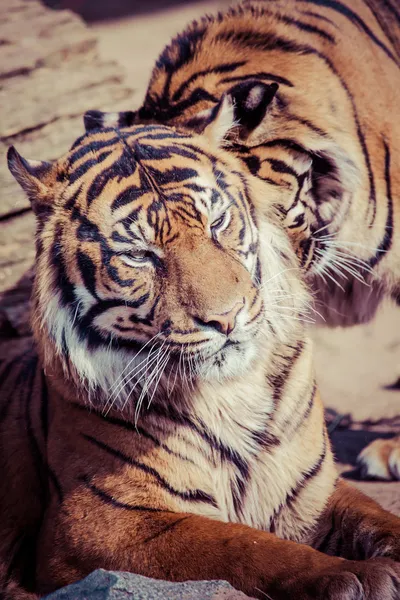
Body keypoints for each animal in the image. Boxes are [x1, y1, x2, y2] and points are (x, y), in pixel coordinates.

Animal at [2, 94, 400, 600]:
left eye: (218, 223)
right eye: (139, 255)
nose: (226, 317)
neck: (232, 393)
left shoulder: (314, 489)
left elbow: (379, 518)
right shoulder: (97, 523)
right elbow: (243, 545)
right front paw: (357, 577)